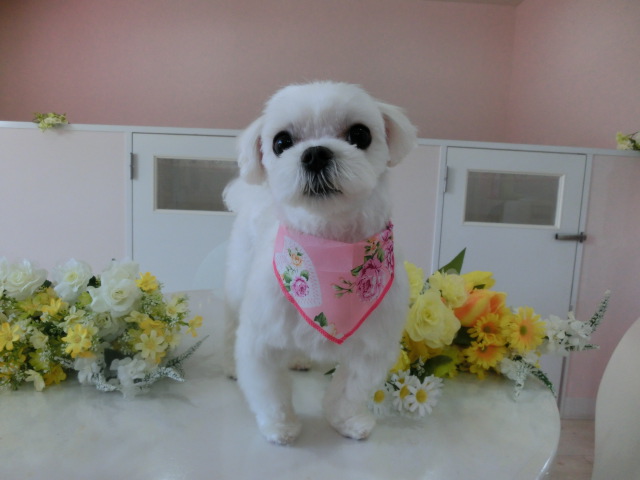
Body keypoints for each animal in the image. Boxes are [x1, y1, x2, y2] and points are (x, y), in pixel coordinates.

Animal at [223, 81, 417, 445]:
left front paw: (348, 421)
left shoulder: (372, 346)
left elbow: (349, 391)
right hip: (238, 281)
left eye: (360, 134)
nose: (315, 153)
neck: (329, 249)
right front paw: (281, 426)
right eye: (281, 142)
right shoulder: (261, 338)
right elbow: (270, 390)